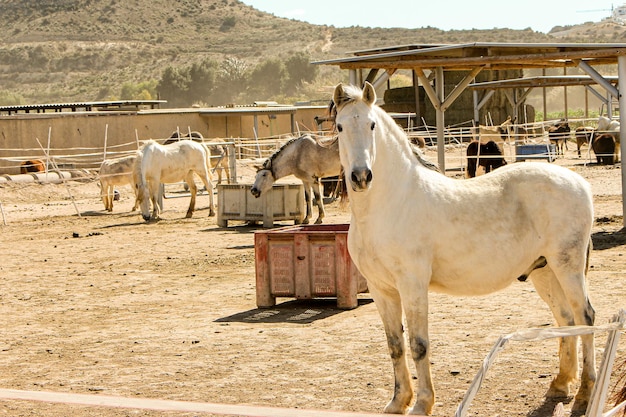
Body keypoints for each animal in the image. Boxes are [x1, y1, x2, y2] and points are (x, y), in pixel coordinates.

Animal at [332, 83, 596, 414]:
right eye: (340, 126)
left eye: (371, 125)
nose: (361, 176)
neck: (391, 203)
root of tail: (579, 183)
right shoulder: (382, 290)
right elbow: (395, 346)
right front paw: (398, 402)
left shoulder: (412, 285)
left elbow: (418, 345)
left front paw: (422, 404)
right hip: (545, 271)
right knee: (566, 319)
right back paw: (560, 385)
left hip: (567, 267)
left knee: (585, 317)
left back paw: (585, 393)